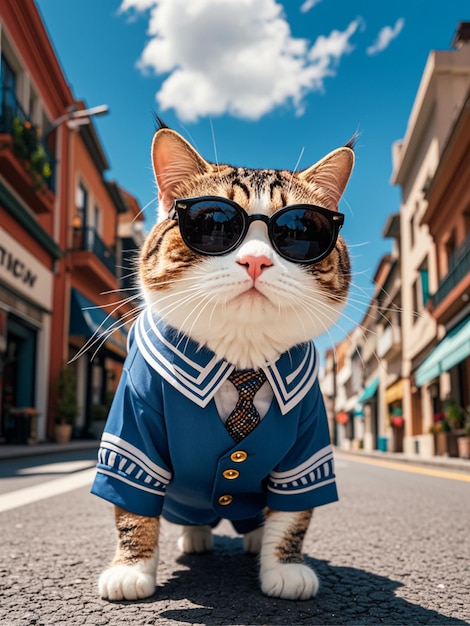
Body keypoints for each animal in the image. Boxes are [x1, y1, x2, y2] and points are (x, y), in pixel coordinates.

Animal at [92, 123, 352, 600]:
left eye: (299, 230)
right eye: (213, 222)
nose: (256, 260)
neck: (240, 360)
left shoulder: (308, 442)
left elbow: (294, 511)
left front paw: (284, 566)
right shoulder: (133, 425)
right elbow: (132, 501)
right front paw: (131, 569)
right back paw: (194, 536)